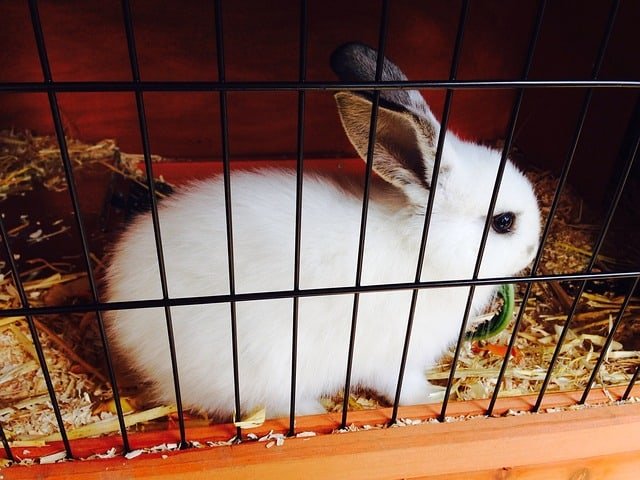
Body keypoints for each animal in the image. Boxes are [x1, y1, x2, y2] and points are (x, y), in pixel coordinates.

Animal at [105, 42, 541, 420]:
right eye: (504, 222)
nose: (534, 248)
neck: (424, 251)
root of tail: (123, 318)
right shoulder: (394, 353)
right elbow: (401, 385)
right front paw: (432, 396)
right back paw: (313, 410)